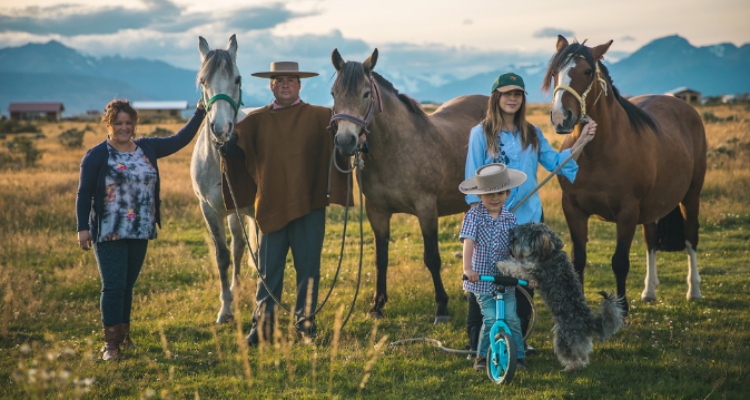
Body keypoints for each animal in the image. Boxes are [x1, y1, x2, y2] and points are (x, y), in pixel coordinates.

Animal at [328, 49, 488, 322]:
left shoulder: (426, 209)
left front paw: (442, 307)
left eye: (366, 93)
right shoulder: (377, 212)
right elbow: (380, 259)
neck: (395, 148)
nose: (345, 141)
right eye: (333, 93)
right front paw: (377, 305)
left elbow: (432, 258)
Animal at [496, 223, 624, 370]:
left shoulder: (533, 272)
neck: (551, 252)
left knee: (572, 356)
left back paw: (570, 368)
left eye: (519, 238)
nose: (511, 242)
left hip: (563, 338)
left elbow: (516, 267)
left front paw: (501, 264)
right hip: (580, 340)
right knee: (583, 354)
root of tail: (588, 321)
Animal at [544, 35, 708, 312]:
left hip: (691, 196)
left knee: (691, 237)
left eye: (587, 72)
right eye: (555, 72)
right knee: (651, 240)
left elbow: (620, 262)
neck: (596, 153)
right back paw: (649, 291)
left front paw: (621, 309)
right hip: (654, 205)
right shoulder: (573, 209)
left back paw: (694, 290)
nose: (560, 117)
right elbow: (579, 260)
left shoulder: (627, 212)